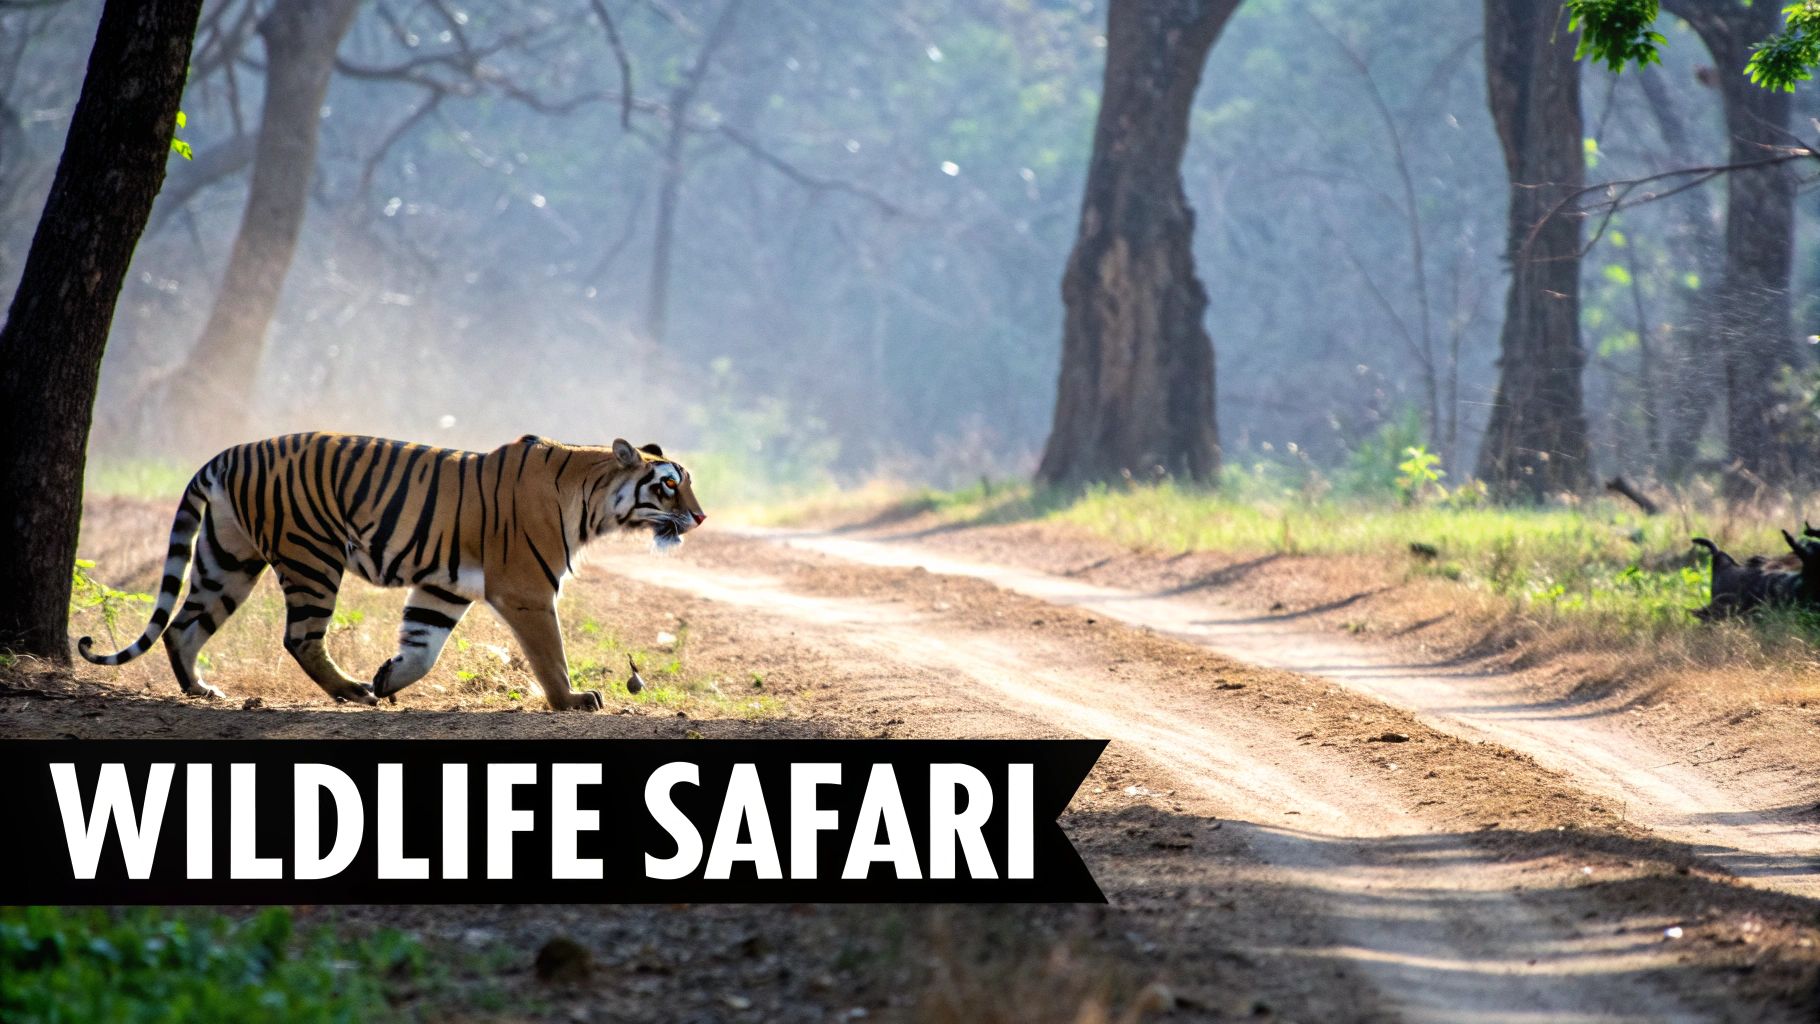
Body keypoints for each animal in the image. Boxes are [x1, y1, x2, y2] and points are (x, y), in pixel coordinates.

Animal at [79, 432, 706, 711]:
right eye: (667, 485)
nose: (699, 517)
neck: (593, 496)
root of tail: (228, 453)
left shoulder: (442, 586)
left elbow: (423, 646)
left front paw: (389, 677)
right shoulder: (527, 590)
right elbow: (550, 654)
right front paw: (572, 700)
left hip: (228, 558)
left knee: (184, 626)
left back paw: (201, 689)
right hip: (311, 555)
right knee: (299, 636)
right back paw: (350, 691)